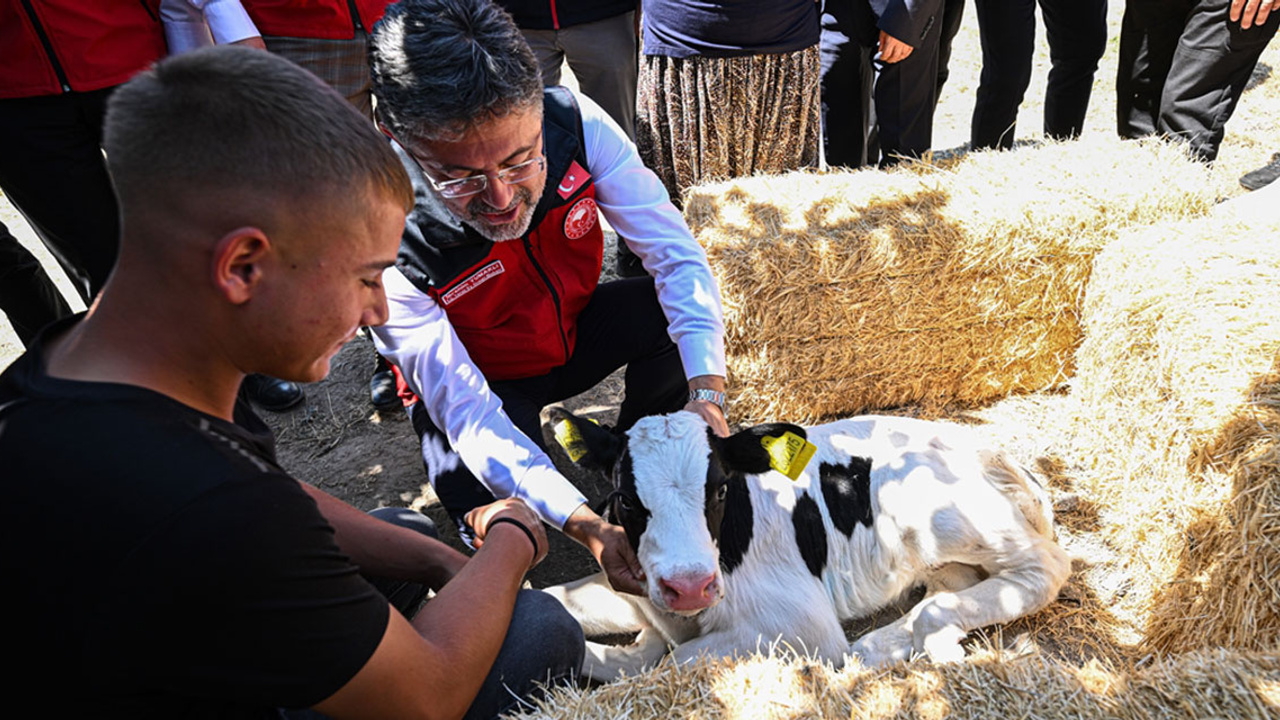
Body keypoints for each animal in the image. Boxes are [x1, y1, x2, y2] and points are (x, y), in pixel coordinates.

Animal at [545, 407, 1075, 676]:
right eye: (625, 499)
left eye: (720, 489)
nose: (690, 585)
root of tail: (989, 450)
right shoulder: (636, 590)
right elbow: (560, 605)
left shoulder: (802, 625)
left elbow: (674, 662)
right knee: (952, 584)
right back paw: (887, 642)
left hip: (937, 514)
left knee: (1046, 566)